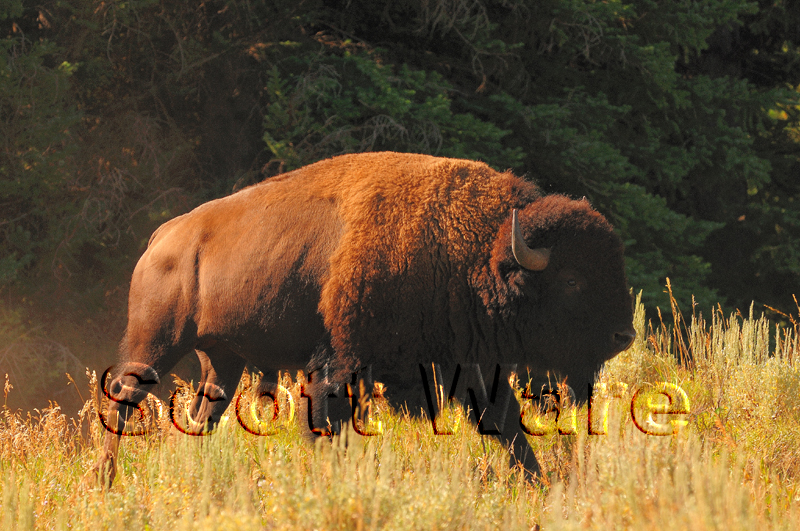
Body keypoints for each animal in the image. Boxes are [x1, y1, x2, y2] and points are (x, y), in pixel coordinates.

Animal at [92, 152, 635, 485]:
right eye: (572, 280)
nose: (624, 334)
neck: (474, 249)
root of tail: (163, 237)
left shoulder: (471, 370)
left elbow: (508, 429)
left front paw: (540, 487)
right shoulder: (338, 365)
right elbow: (325, 427)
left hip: (221, 359)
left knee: (204, 413)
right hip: (154, 346)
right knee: (122, 397)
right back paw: (105, 478)